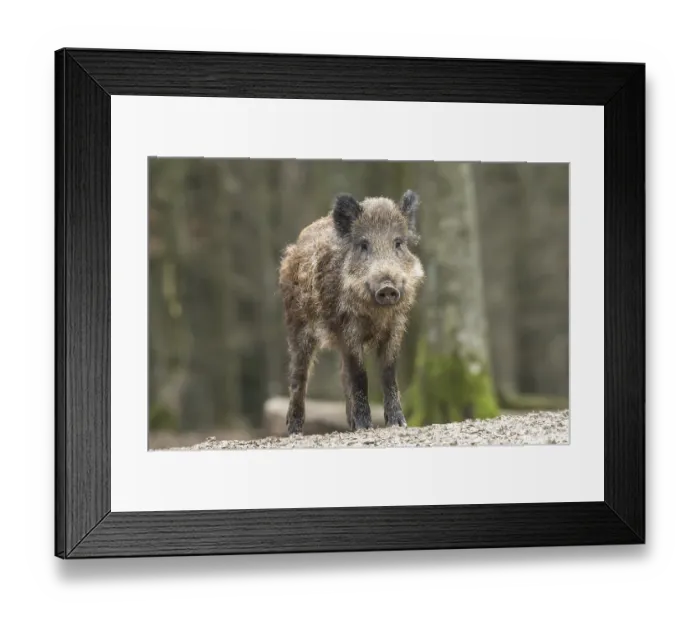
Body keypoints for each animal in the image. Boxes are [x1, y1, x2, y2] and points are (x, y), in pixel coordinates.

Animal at [278, 189, 425, 436]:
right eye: (364, 245)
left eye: (398, 243)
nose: (387, 287)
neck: (376, 314)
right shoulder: (347, 327)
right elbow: (359, 375)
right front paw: (366, 426)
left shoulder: (396, 325)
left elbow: (387, 373)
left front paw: (398, 424)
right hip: (297, 325)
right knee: (299, 374)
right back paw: (295, 431)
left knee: (341, 373)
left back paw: (351, 425)